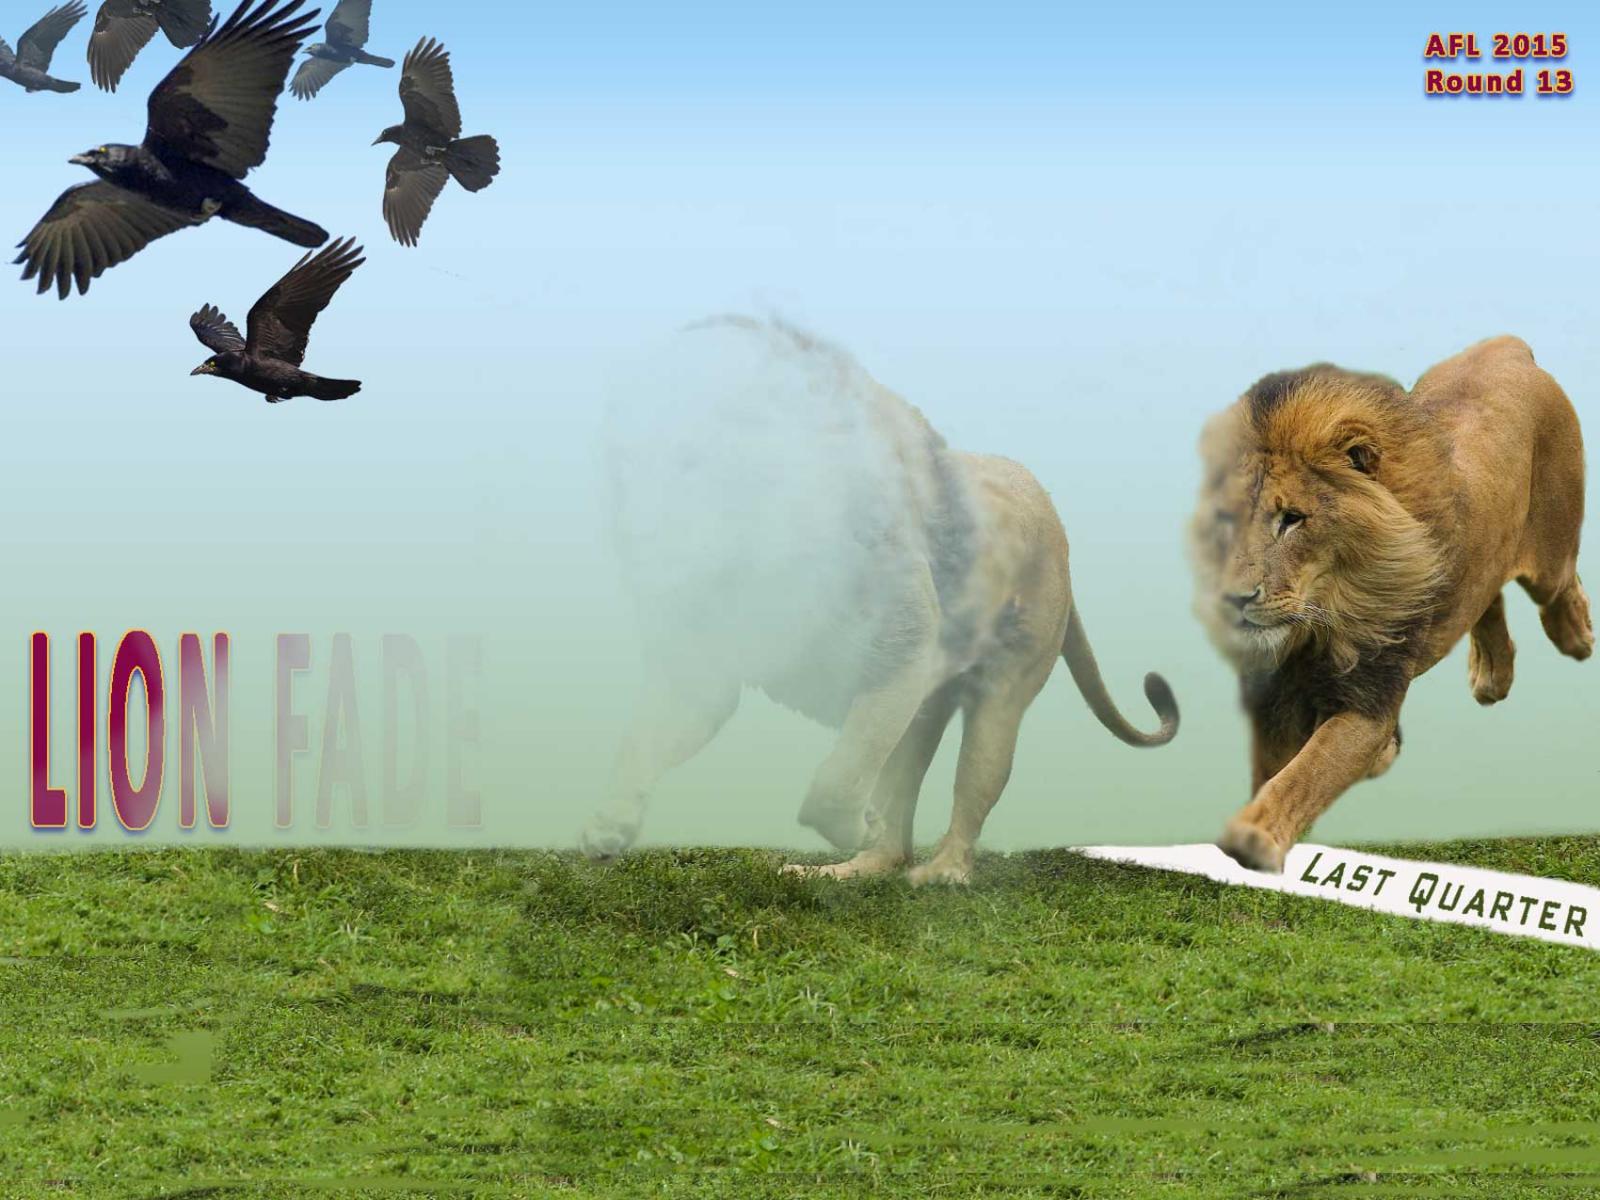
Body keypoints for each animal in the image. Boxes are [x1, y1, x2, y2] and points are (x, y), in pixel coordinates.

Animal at [580, 315, 1179, 883]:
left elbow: (837, 776)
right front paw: (607, 826)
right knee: (895, 827)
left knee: (974, 775)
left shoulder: (905, 649)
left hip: (1001, 690)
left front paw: (857, 822)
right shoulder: (701, 668)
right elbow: (640, 745)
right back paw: (851, 868)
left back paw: (942, 871)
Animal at [1191, 335, 1592, 873]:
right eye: (1225, 519)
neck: (1319, 618)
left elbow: (1305, 774)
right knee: (1487, 595)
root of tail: (1505, 348)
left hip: (1551, 551)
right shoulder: (1273, 695)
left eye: (1292, 518)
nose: (1235, 599)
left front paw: (1252, 836)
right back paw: (1492, 673)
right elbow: (1275, 768)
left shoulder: (1369, 702)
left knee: (1561, 584)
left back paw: (1578, 636)